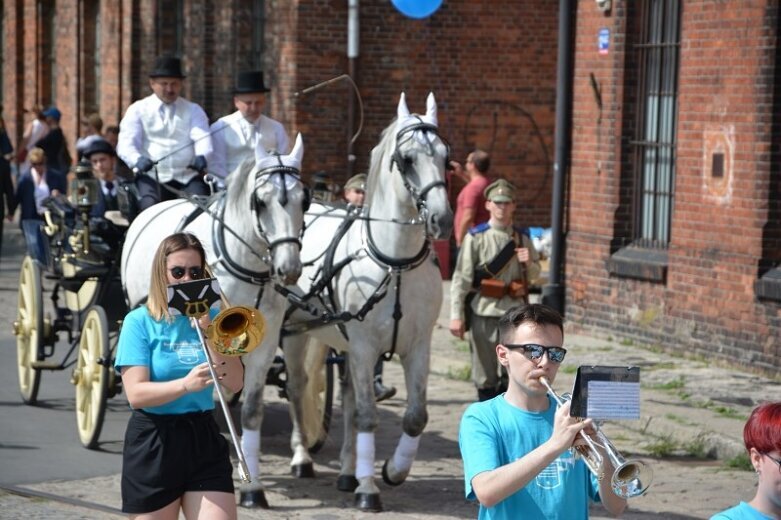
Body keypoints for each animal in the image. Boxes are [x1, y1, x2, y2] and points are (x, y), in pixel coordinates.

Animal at [120, 135, 306, 508]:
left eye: (304, 201)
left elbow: (251, 408)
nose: (289, 269)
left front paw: (253, 487)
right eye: (261, 202)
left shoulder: (266, 343)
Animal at [258, 94, 450, 512]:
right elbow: (366, 415)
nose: (442, 219)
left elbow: (415, 416)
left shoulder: (418, 345)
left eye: (447, 155)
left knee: (343, 396)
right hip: (295, 333)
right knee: (298, 388)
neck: (395, 263)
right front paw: (369, 489)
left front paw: (393, 470)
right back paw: (303, 458)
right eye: (406, 159)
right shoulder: (364, 346)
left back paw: (347, 471)